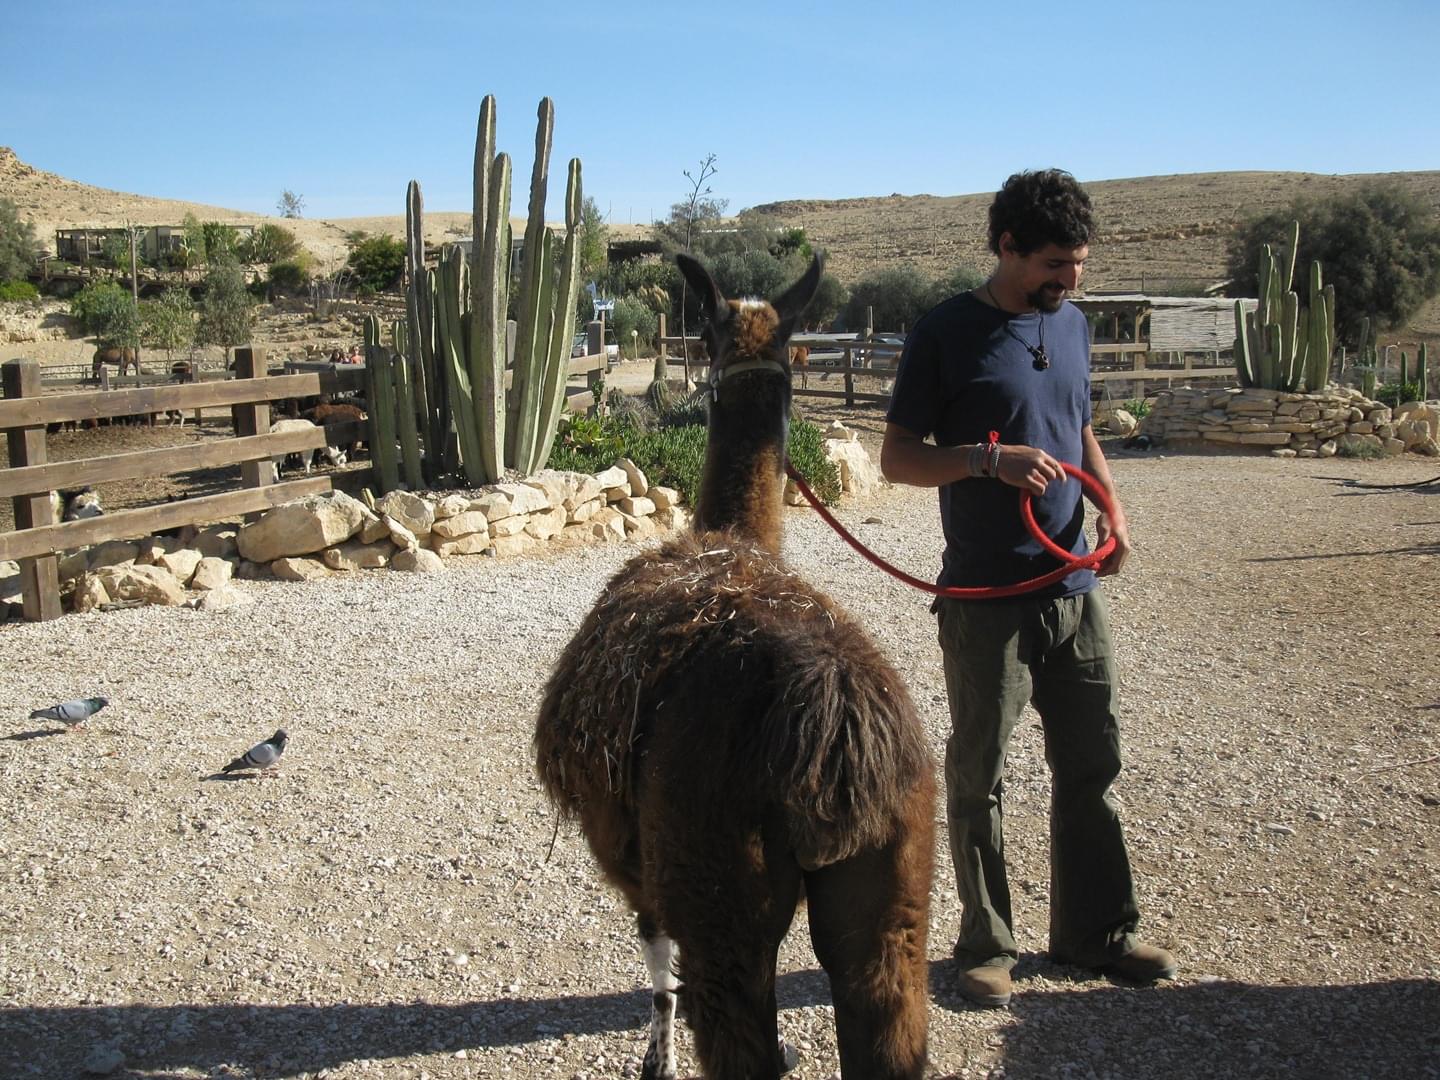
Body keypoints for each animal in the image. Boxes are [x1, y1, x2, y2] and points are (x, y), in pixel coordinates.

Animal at [535, 254, 935, 1080]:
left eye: (707, 340)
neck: (732, 537)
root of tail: (830, 727)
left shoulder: (632, 851)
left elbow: (655, 959)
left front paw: (655, 1061)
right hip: (894, 893)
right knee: (889, 1022)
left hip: (718, 881)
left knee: (728, 1019)